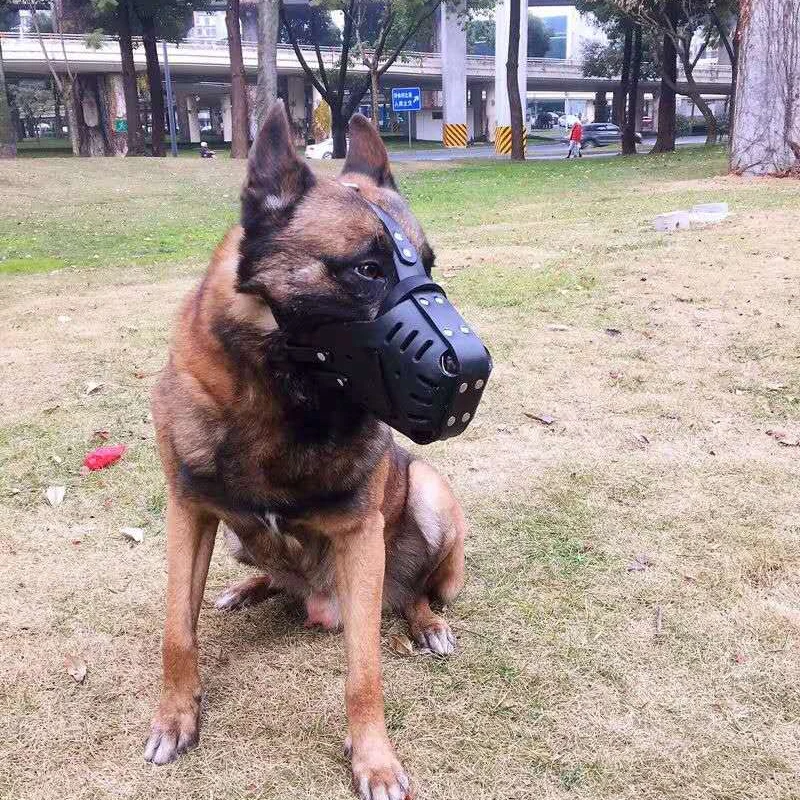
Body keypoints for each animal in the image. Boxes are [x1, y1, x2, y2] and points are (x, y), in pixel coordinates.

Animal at [143, 102, 468, 800]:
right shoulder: (188, 512)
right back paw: (249, 589)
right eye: (369, 269)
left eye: (427, 268)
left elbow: (365, 673)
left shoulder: (359, 535)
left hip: (429, 495)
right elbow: (178, 631)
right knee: (267, 575)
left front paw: (373, 759)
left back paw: (425, 622)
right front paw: (175, 716)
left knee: (416, 589)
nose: (473, 367)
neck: (280, 402)